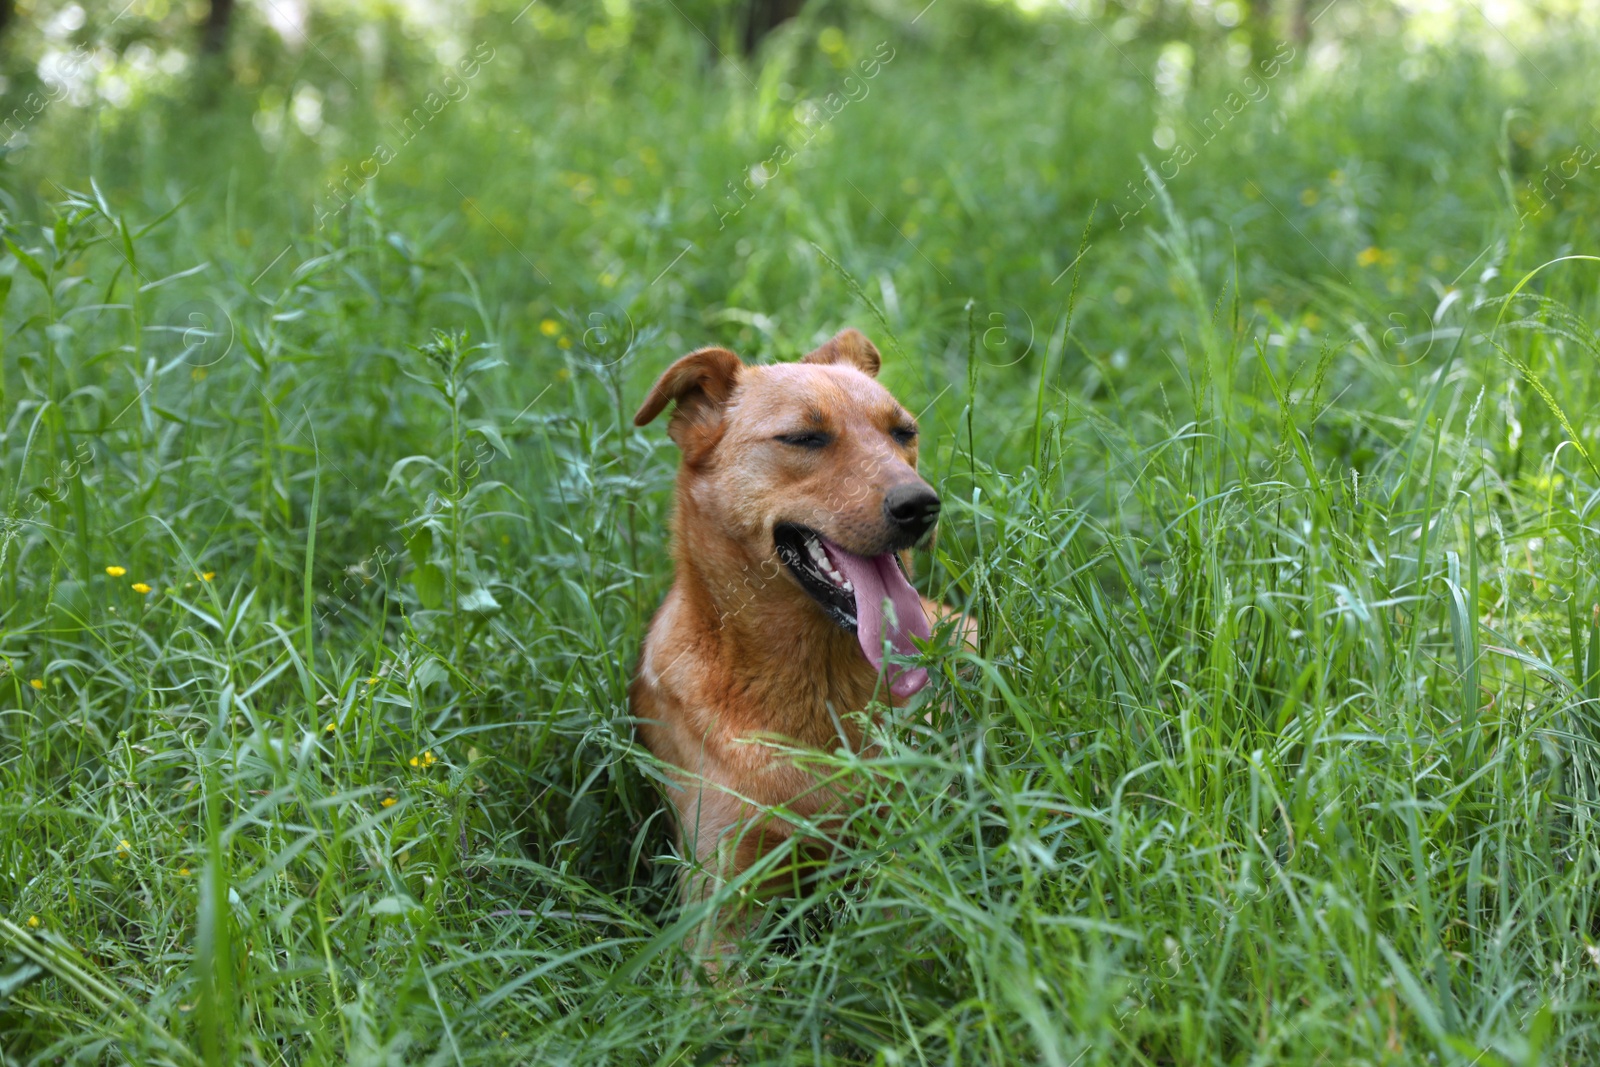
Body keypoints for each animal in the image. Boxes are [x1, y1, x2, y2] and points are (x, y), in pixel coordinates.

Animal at [630, 329, 966, 972]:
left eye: (903, 432)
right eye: (805, 438)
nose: (921, 506)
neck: (816, 683)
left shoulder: (905, 850)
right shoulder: (718, 903)